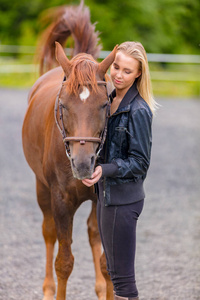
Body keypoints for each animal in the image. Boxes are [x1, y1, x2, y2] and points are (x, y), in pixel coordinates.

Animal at [21, 2, 115, 300]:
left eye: (105, 103)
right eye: (62, 104)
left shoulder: (102, 200)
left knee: (93, 236)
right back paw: (48, 289)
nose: (83, 164)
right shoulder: (60, 201)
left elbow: (106, 262)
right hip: (41, 188)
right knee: (48, 232)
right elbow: (64, 262)